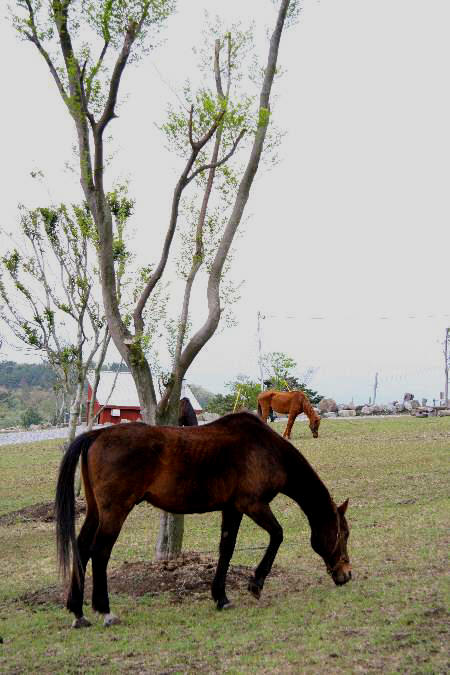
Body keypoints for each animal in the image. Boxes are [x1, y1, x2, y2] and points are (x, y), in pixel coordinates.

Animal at [55, 412, 352, 628]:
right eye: (344, 534)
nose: (346, 574)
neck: (267, 449)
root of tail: (97, 433)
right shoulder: (253, 505)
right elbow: (277, 535)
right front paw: (255, 584)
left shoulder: (232, 509)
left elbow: (226, 549)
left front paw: (221, 597)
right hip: (115, 511)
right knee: (100, 552)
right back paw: (105, 610)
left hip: (96, 511)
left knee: (82, 548)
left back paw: (78, 612)